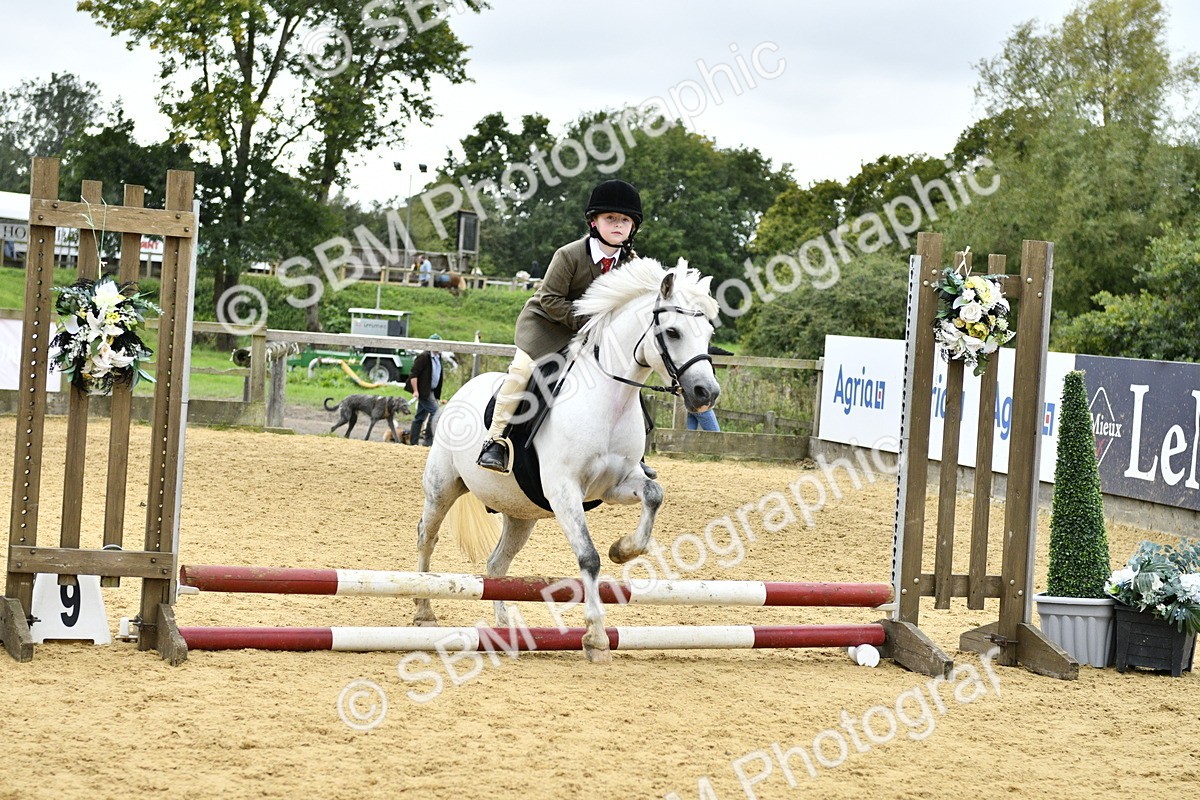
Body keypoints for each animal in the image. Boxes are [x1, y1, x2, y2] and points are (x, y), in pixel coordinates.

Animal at [413, 257, 721, 662]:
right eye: (672, 332)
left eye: (708, 334)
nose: (706, 393)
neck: (609, 401)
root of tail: (464, 388)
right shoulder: (564, 490)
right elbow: (589, 557)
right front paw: (596, 637)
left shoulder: (615, 485)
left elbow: (654, 495)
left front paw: (624, 549)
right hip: (442, 488)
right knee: (427, 537)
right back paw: (423, 611)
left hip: (520, 513)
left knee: (497, 564)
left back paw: (503, 628)